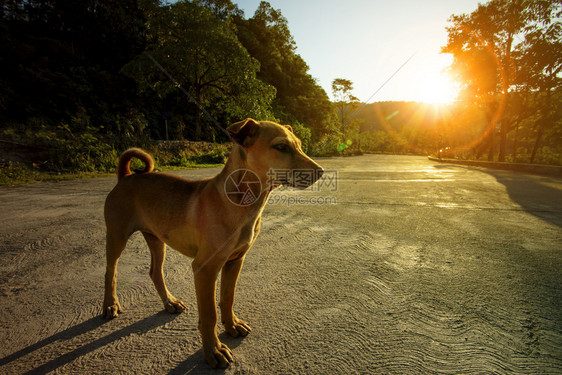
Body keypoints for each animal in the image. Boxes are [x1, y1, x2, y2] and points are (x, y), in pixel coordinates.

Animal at [102, 119, 322, 368]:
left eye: (300, 145)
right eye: (281, 147)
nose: (321, 172)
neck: (242, 199)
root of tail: (126, 176)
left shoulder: (235, 261)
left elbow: (227, 298)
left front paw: (232, 325)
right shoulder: (204, 269)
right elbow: (209, 315)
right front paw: (213, 351)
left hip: (157, 240)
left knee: (155, 272)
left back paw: (169, 302)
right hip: (117, 236)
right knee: (111, 272)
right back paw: (110, 305)